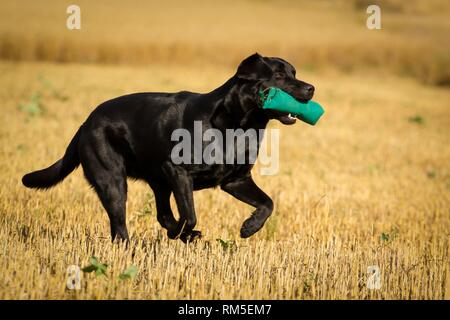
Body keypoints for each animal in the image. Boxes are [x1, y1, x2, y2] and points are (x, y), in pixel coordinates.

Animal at [22, 53, 314, 242]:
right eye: (278, 75)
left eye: (295, 73)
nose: (311, 88)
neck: (237, 125)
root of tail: (86, 122)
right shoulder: (178, 171)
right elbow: (191, 214)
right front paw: (184, 233)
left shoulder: (236, 180)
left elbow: (268, 203)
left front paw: (249, 227)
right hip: (113, 181)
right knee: (120, 226)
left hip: (157, 182)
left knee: (161, 215)